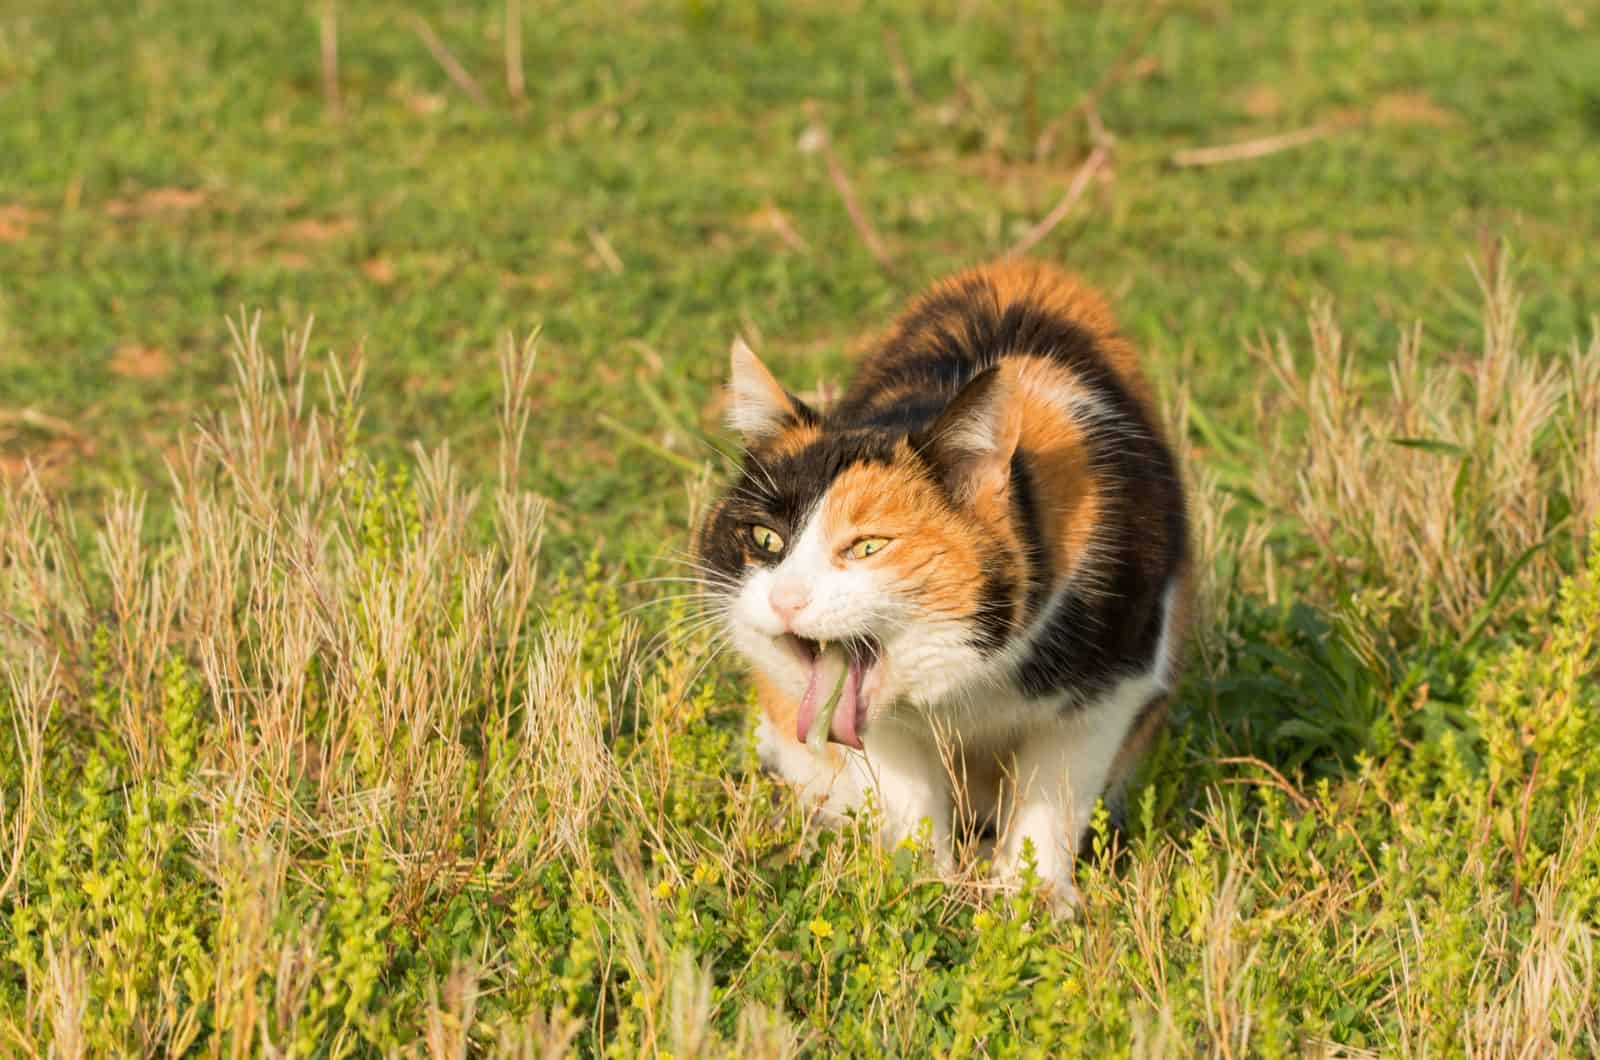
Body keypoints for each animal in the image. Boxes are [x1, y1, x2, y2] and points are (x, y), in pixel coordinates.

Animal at [697, 260, 1190, 909]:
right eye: (765, 539)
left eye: (868, 546)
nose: (785, 598)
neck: (973, 679)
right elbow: (911, 799)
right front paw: (918, 887)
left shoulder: (1111, 687)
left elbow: (1053, 795)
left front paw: (1032, 901)